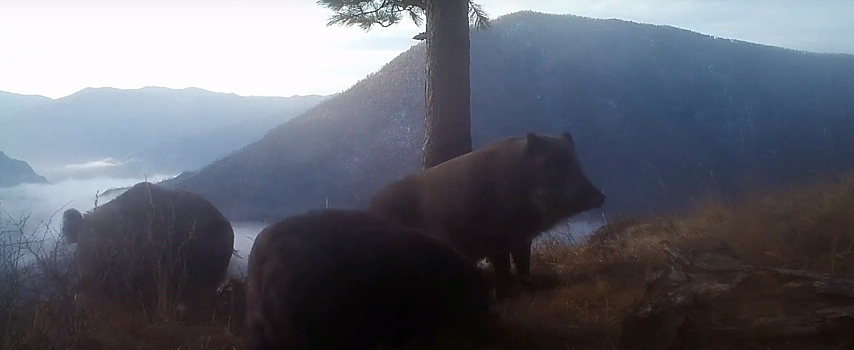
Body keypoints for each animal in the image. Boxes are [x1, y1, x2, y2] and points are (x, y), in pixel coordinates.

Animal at [370, 133, 608, 296]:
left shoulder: (522, 237)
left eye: (576, 161)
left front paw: (530, 286)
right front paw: (504, 293)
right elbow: (502, 266)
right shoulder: (496, 237)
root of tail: (370, 206)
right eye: (549, 164)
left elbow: (523, 263)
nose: (599, 195)